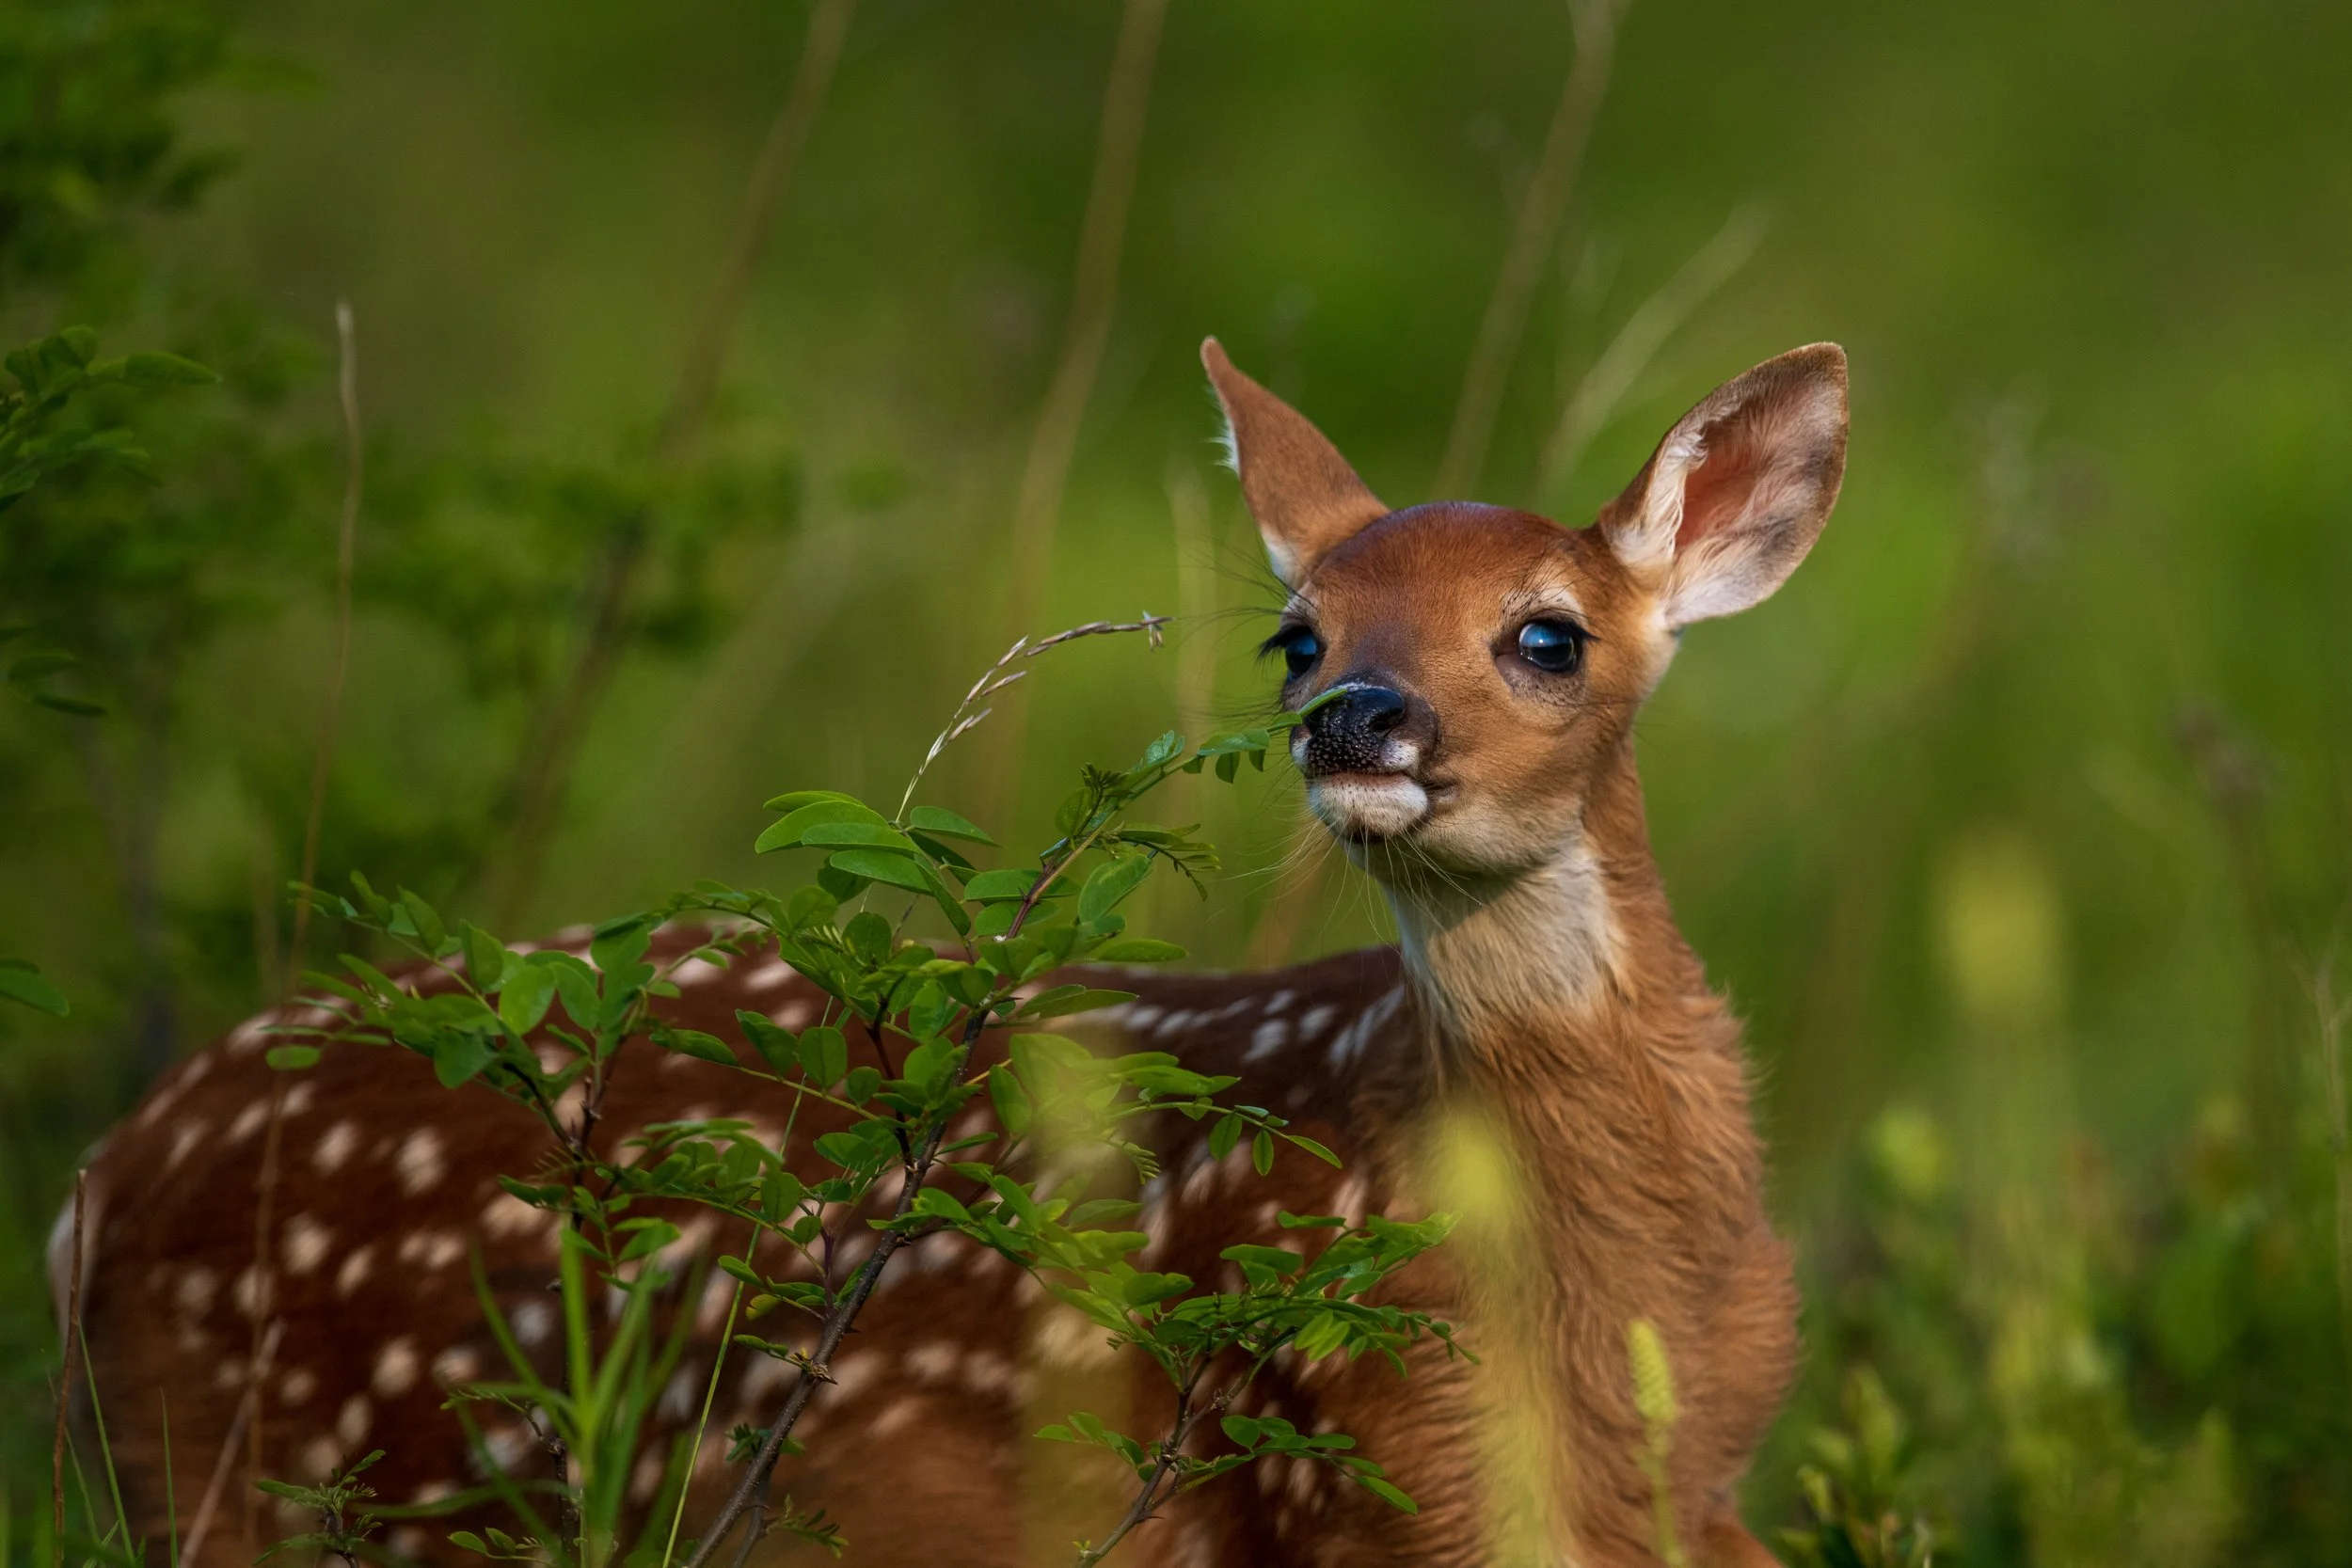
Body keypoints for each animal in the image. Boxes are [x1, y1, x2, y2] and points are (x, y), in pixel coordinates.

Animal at [58, 337, 1847, 1568]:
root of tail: (93, 1186)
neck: (1614, 1322)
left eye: (1549, 632)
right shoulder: (1363, 1454)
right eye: (1299, 635)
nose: (1356, 717)